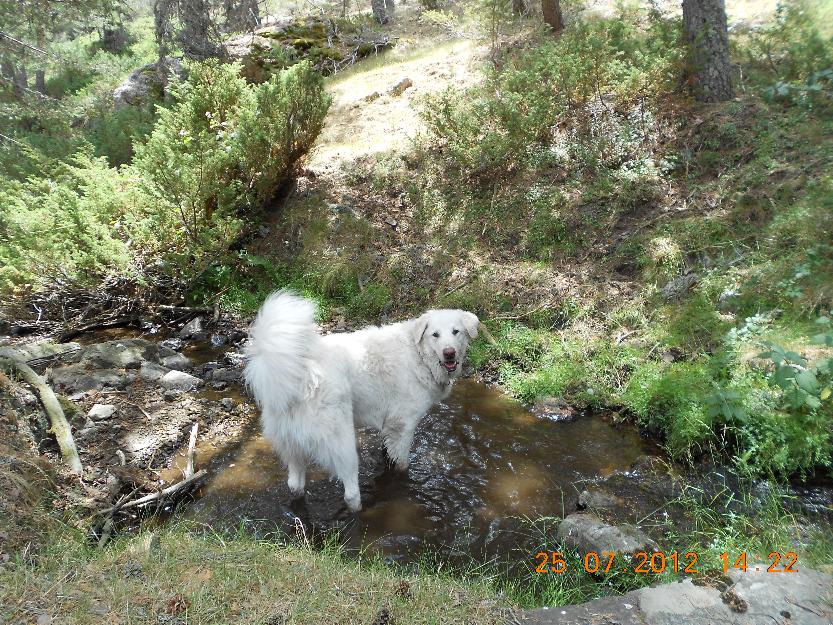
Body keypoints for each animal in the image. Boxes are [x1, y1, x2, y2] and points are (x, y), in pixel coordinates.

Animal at [240, 290, 480, 510]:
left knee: (295, 485)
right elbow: (402, 465)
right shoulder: (403, 426)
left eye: (456, 332)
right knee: (350, 492)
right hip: (342, 443)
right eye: (435, 335)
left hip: (292, 446)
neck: (418, 355)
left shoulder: (390, 427)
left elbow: (387, 453)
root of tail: (301, 372)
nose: (449, 353)